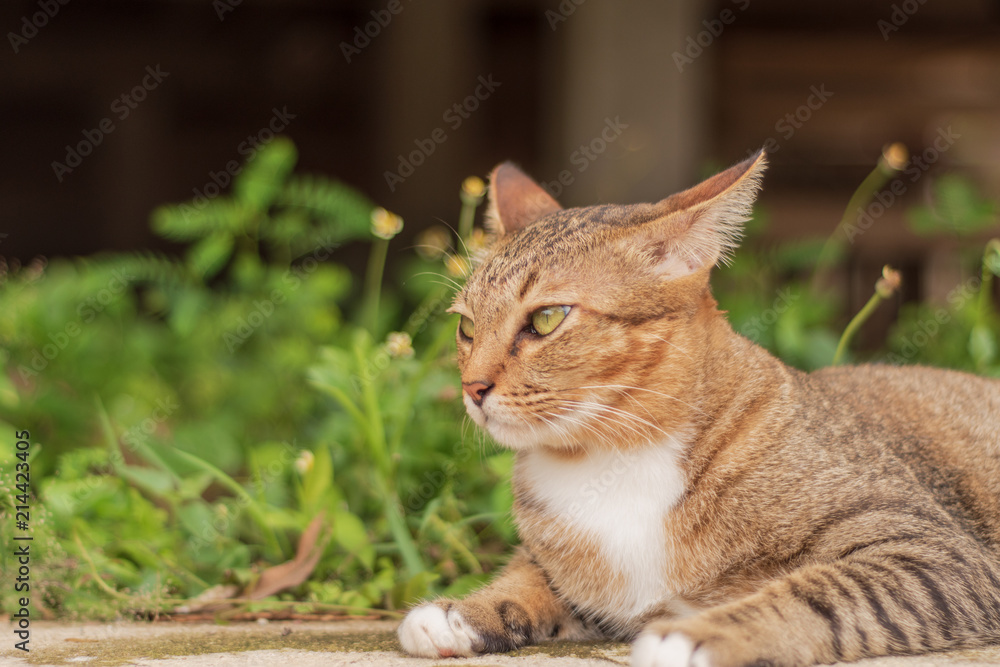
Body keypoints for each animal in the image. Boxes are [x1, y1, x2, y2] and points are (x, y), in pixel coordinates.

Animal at [392, 153, 1000, 667]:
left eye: (547, 319)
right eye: (467, 326)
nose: (472, 387)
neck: (615, 457)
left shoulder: (933, 552)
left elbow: (820, 591)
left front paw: (701, 634)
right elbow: (529, 576)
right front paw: (464, 611)